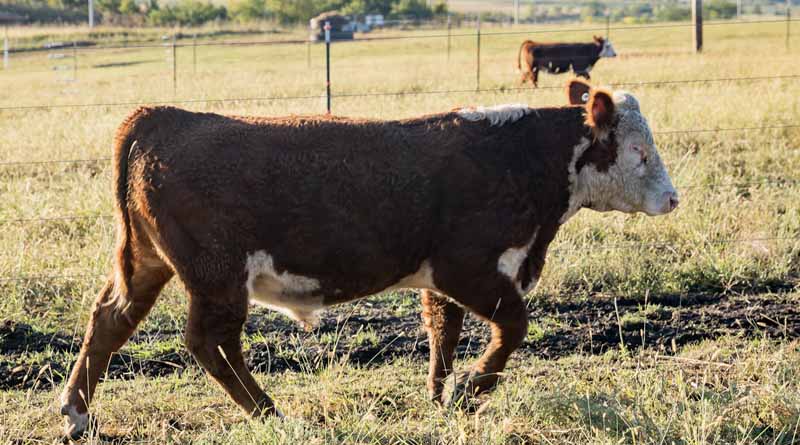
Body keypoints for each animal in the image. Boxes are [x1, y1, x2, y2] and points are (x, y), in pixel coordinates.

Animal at [60, 79, 678, 439]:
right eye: (640, 151)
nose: (673, 199)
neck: (524, 155)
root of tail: (159, 116)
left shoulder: (441, 277)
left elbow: (443, 330)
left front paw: (441, 395)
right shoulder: (469, 267)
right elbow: (512, 326)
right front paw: (472, 391)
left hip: (146, 261)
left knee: (111, 320)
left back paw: (77, 413)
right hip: (218, 277)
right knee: (211, 343)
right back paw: (269, 413)